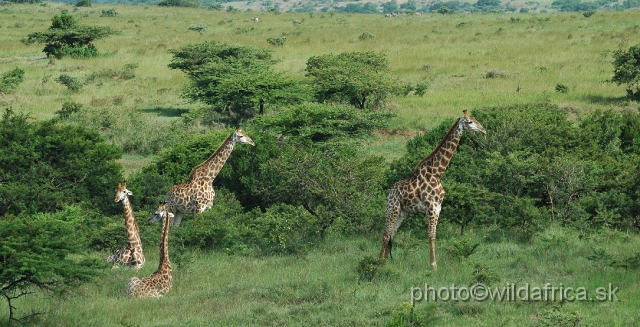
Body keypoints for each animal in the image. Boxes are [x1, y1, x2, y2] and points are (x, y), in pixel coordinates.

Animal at [380, 111, 484, 270]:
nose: (483, 130)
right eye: (470, 122)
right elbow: (431, 236)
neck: (437, 173)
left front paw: (434, 263)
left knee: (391, 234)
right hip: (392, 209)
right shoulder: (431, 207)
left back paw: (386, 262)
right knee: (386, 234)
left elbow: (433, 235)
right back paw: (378, 261)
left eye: (475, 119)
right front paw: (433, 265)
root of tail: (389, 193)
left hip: (402, 212)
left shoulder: (438, 207)